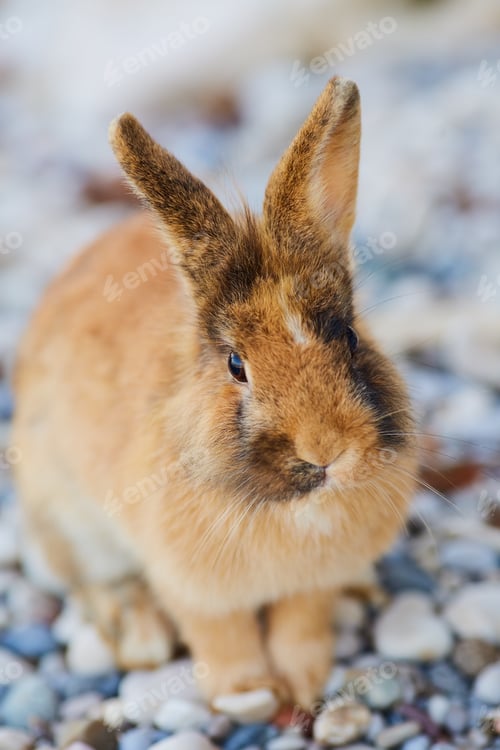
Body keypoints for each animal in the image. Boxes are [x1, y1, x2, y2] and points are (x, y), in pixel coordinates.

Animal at [12, 77, 416, 711]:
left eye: (351, 338)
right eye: (236, 365)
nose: (325, 451)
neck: (295, 505)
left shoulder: (311, 585)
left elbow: (301, 623)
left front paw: (303, 683)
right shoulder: (193, 588)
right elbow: (222, 636)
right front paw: (248, 692)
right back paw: (138, 629)